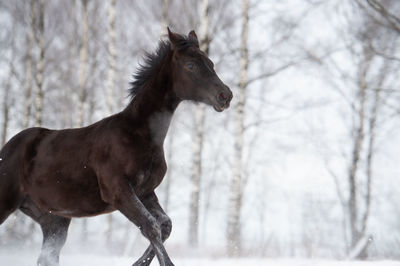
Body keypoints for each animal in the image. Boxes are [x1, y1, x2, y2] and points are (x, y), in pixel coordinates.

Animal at [0, 27, 231, 266]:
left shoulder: (145, 192)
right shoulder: (118, 192)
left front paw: (137, 263)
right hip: (6, 203)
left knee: (47, 257)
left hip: (54, 220)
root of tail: (7, 148)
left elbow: (165, 225)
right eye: (190, 65)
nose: (225, 95)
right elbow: (151, 227)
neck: (139, 136)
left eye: (211, 63)